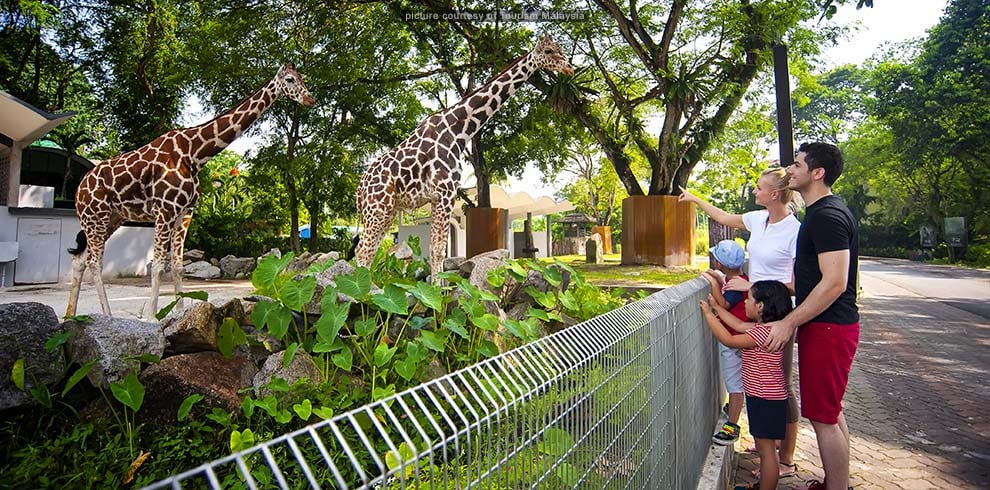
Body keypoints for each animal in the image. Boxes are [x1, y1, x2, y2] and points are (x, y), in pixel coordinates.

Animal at [67, 63, 314, 320]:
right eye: (290, 79)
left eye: (302, 78)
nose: (310, 99)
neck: (195, 153)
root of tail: (79, 188)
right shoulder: (165, 210)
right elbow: (158, 265)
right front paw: (152, 318)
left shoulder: (185, 212)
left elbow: (177, 266)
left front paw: (180, 313)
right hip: (95, 217)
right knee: (95, 262)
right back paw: (106, 315)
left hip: (111, 219)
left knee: (80, 260)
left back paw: (70, 315)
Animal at [354, 34, 572, 280]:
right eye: (549, 51)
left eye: (559, 49)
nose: (569, 67)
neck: (459, 129)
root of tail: (359, 190)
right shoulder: (445, 193)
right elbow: (438, 250)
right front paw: (436, 289)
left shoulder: (440, 197)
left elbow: (437, 249)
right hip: (377, 208)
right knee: (363, 250)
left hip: (387, 211)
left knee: (370, 250)